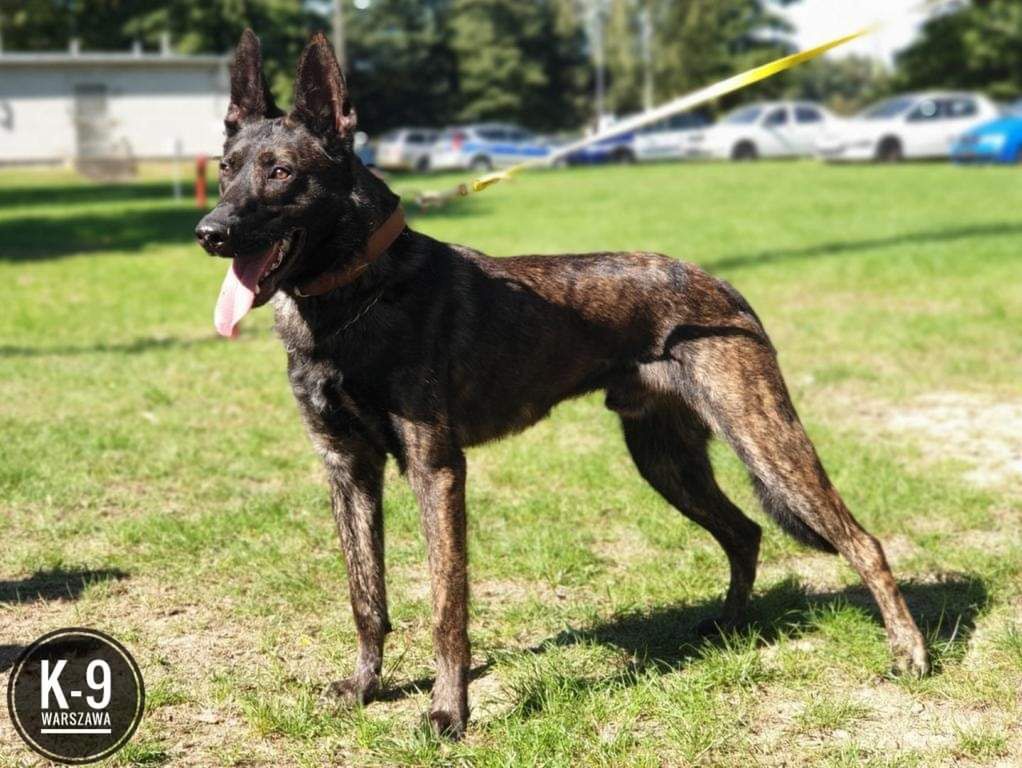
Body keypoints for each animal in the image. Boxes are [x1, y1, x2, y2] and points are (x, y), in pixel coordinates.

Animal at [195, 28, 932, 740]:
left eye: (282, 172)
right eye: (227, 169)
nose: (210, 232)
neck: (350, 299)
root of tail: (721, 284)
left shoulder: (435, 469)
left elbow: (445, 605)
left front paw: (448, 712)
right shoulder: (346, 467)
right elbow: (365, 596)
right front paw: (364, 687)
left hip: (764, 440)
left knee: (861, 541)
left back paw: (909, 651)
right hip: (665, 460)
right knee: (745, 533)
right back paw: (726, 628)